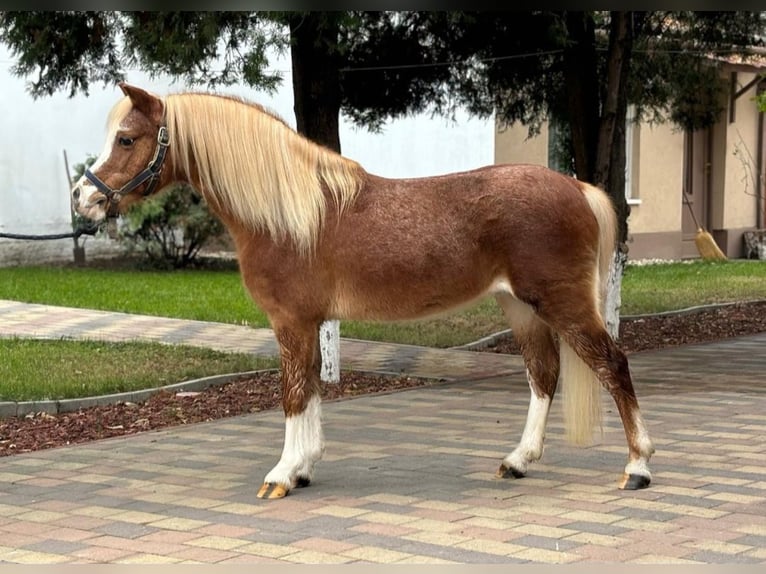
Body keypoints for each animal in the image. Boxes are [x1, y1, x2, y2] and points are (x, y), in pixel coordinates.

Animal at [73, 83, 660, 502]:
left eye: (126, 139)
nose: (83, 198)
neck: (289, 213)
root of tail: (577, 187)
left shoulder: (291, 321)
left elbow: (292, 394)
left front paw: (281, 474)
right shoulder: (308, 323)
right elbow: (310, 388)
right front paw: (304, 469)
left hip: (562, 303)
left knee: (613, 364)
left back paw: (637, 467)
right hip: (520, 306)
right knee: (544, 374)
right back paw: (517, 461)